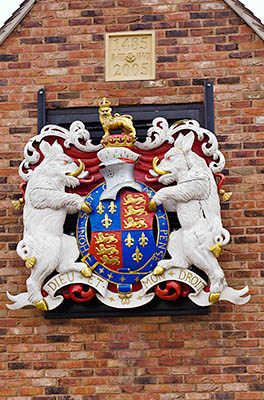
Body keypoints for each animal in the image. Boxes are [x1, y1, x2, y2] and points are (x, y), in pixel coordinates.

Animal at [16, 141, 92, 310]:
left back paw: (85, 270)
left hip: (70, 244)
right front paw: (85, 205)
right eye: (64, 162)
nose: (84, 172)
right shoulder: (39, 194)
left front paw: (86, 201)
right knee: (32, 280)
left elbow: (68, 205)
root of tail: (27, 244)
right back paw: (41, 303)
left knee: (62, 267)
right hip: (47, 255)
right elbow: (60, 195)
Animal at [150, 131, 230, 300]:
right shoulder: (177, 202)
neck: (187, 171)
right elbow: (171, 203)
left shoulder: (196, 186)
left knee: (211, 268)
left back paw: (215, 291)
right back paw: (161, 267)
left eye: (169, 157)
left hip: (196, 245)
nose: (154, 170)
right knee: (183, 263)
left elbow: (174, 189)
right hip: (175, 237)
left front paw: (153, 201)